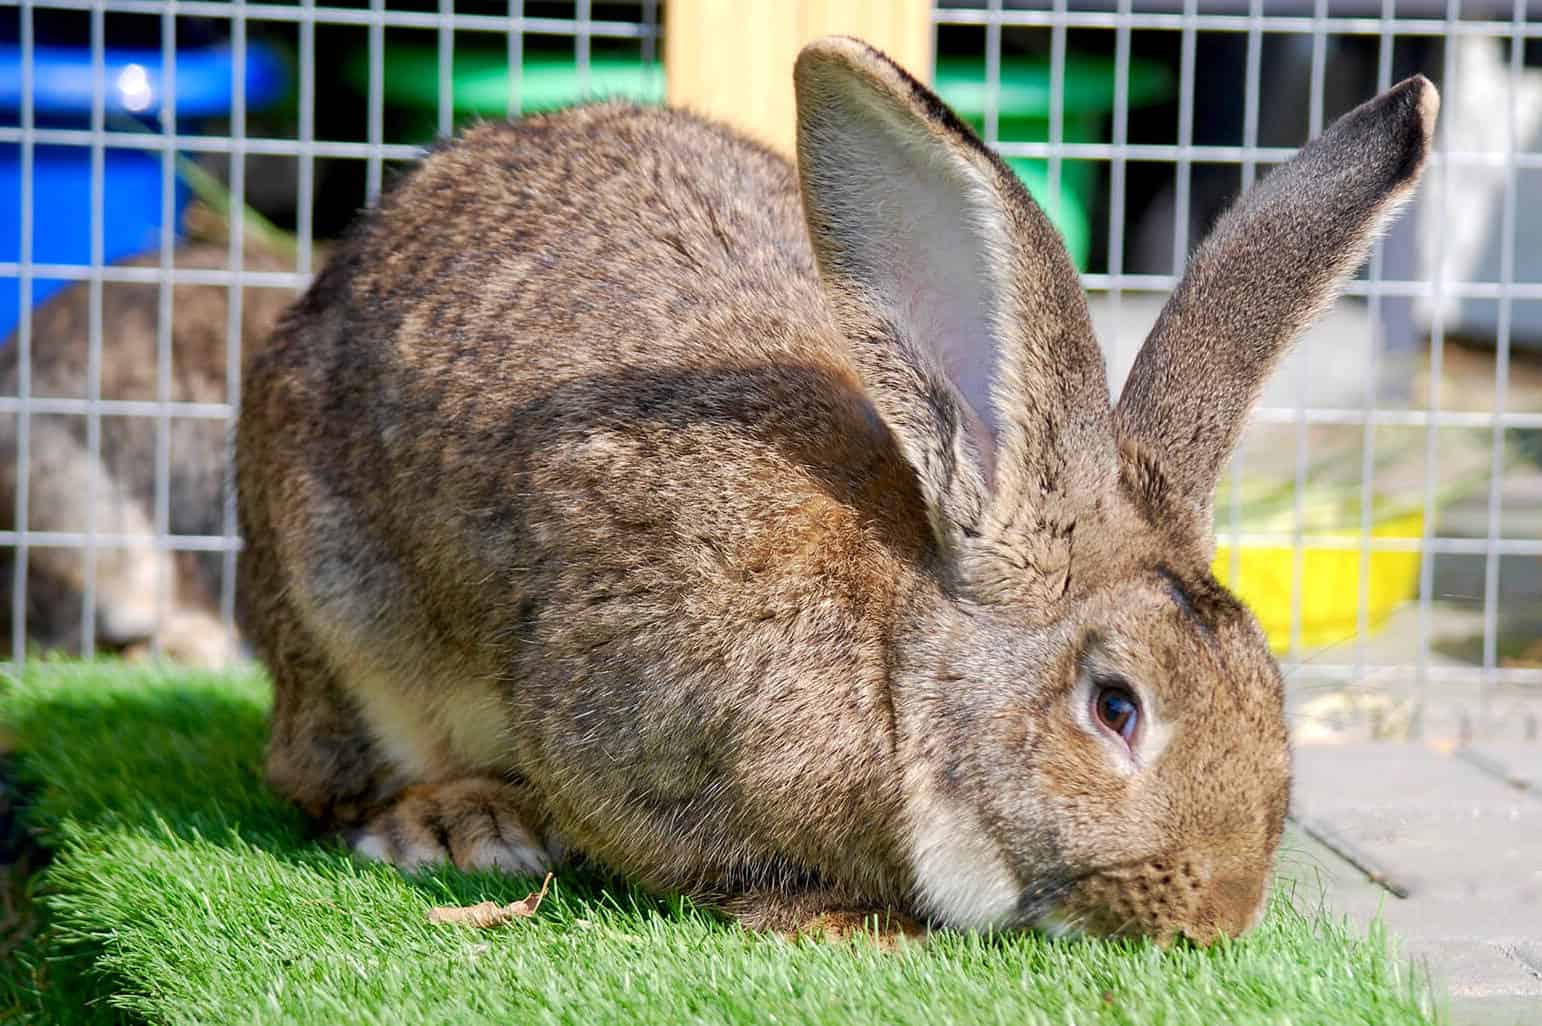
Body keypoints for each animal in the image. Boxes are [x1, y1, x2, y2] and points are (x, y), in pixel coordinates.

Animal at [234, 37, 1437, 938]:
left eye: (1269, 691)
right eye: (1115, 707)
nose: (1218, 917)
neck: (897, 662)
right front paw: (846, 924)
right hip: (340, 619)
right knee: (324, 777)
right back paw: (457, 827)